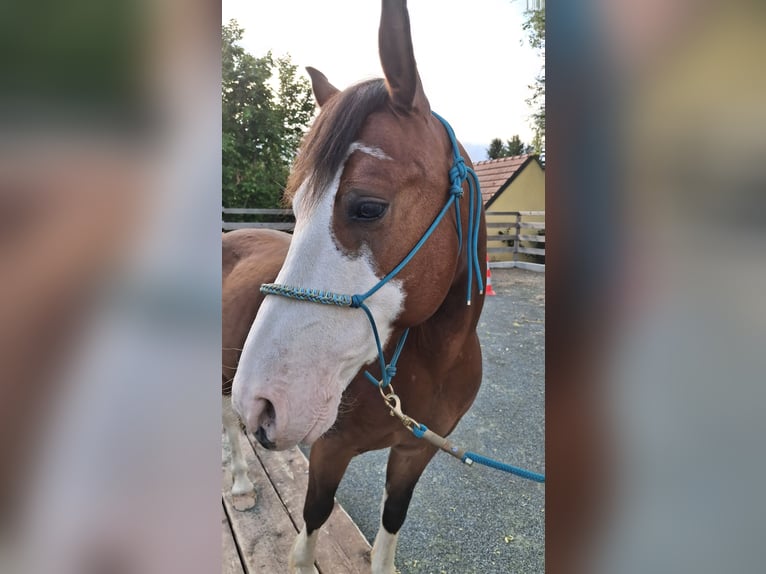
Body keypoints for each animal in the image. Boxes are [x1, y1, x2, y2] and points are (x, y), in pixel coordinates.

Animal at [231, 1, 487, 572]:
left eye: (368, 206)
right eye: (296, 208)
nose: (259, 402)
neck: (433, 361)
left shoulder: (417, 450)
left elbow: (391, 524)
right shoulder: (329, 452)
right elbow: (310, 530)